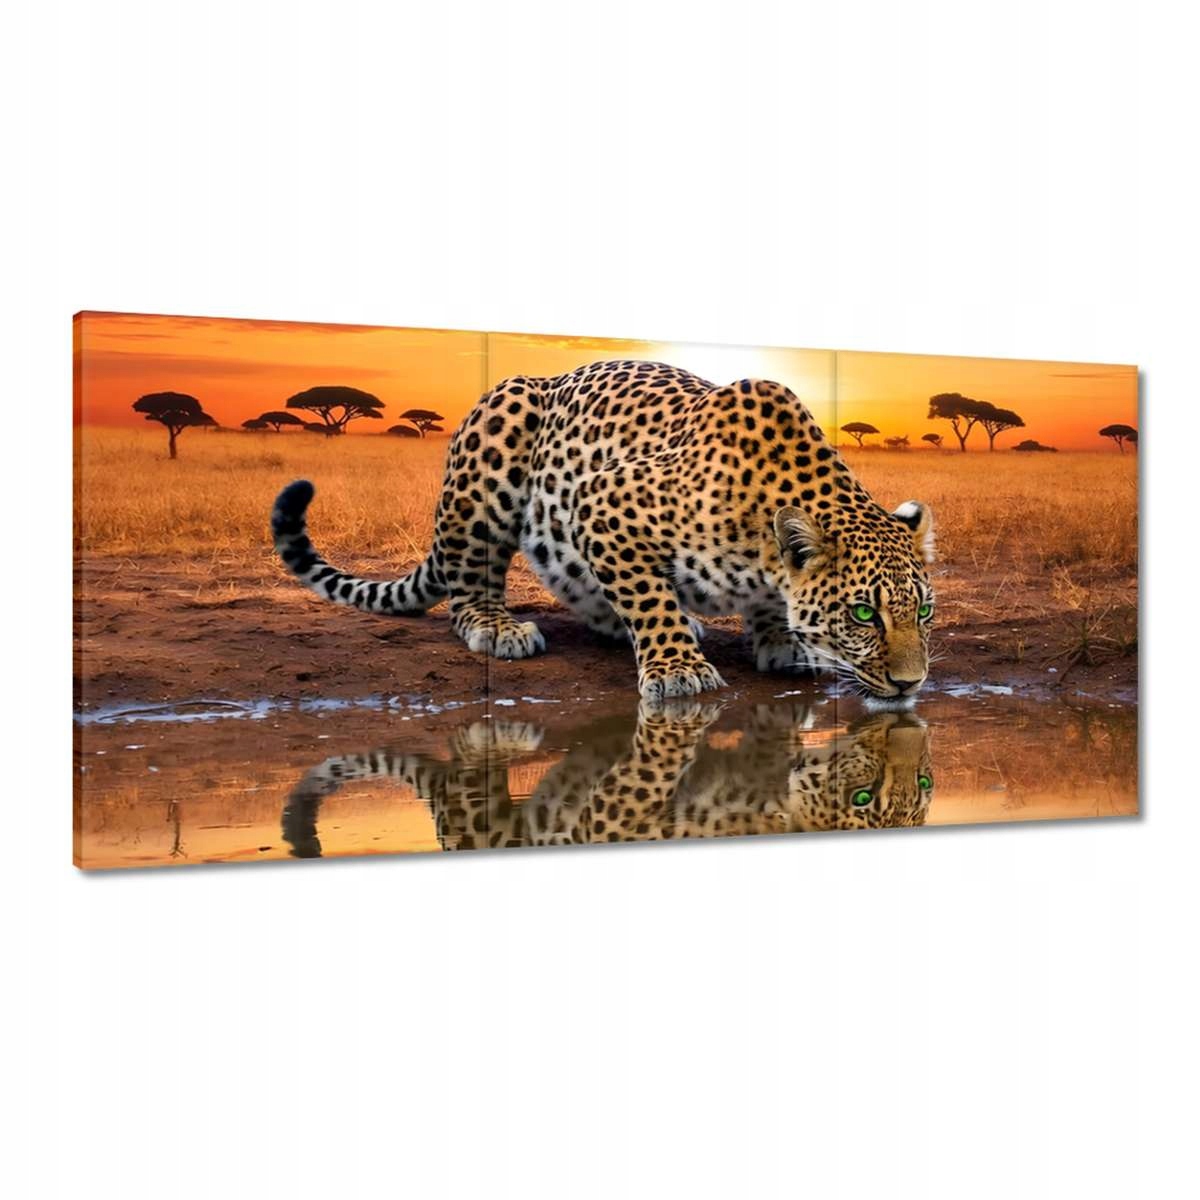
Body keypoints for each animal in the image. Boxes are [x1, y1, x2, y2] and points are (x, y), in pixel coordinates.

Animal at [271, 359, 936, 702]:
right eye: (863, 614)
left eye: (924, 612)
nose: (912, 685)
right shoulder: (602, 503)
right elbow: (650, 600)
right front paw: (677, 669)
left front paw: (782, 642)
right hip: (497, 449)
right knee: (469, 587)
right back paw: (500, 627)